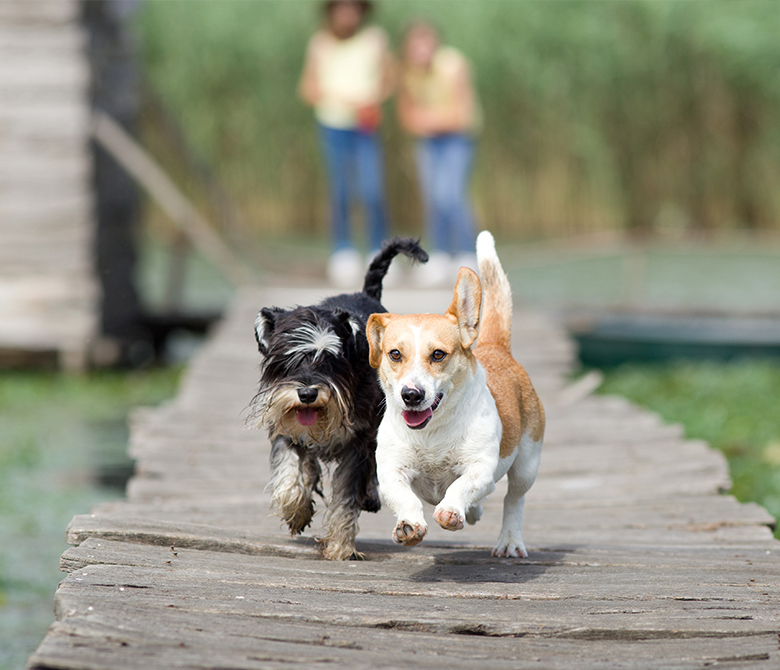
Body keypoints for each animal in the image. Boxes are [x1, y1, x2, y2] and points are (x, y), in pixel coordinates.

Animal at [250, 239, 426, 560]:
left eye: (331, 359)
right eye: (285, 359)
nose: (307, 394)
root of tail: (365, 294)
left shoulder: (358, 442)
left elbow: (346, 494)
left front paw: (341, 546)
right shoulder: (284, 429)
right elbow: (288, 473)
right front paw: (296, 511)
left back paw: (369, 495)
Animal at [364, 234, 544, 560]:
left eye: (438, 354)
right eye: (395, 354)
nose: (411, 395)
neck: (432, 433)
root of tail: (495, 346)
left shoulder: (481, 469)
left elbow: (460, 488)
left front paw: (451, 510)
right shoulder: (390, 471)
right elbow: (405, 498)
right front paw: (408, 525)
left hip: (527, 464)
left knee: (513, 500)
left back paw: (509, 540)